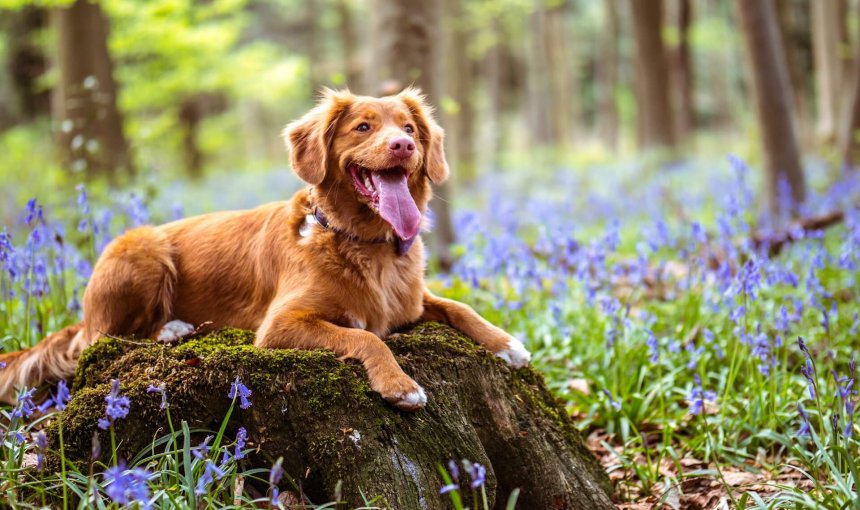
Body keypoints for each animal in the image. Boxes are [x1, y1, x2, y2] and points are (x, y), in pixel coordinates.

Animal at [0, 88, 532, 410]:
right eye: (363, 127)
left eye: (409, 128)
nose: (403, 146)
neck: (364, 244)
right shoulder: (280, 325)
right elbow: (367, 338)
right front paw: (400, 385)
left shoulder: (413, 302)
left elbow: (459, 307)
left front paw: (507, 343)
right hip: (142, 249)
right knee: (104, 339)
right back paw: (171, 329)